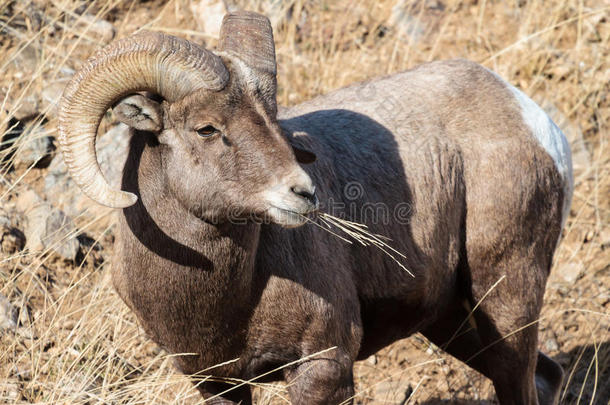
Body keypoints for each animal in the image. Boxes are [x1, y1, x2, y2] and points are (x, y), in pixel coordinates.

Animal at [57, 9, 568, 404]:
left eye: (272, 117)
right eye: (206, 128)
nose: (303, 193)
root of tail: (534, 119)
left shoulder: (322, 367)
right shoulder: (218, 383)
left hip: (505, 295)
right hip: (452, 319)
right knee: (545, 377)